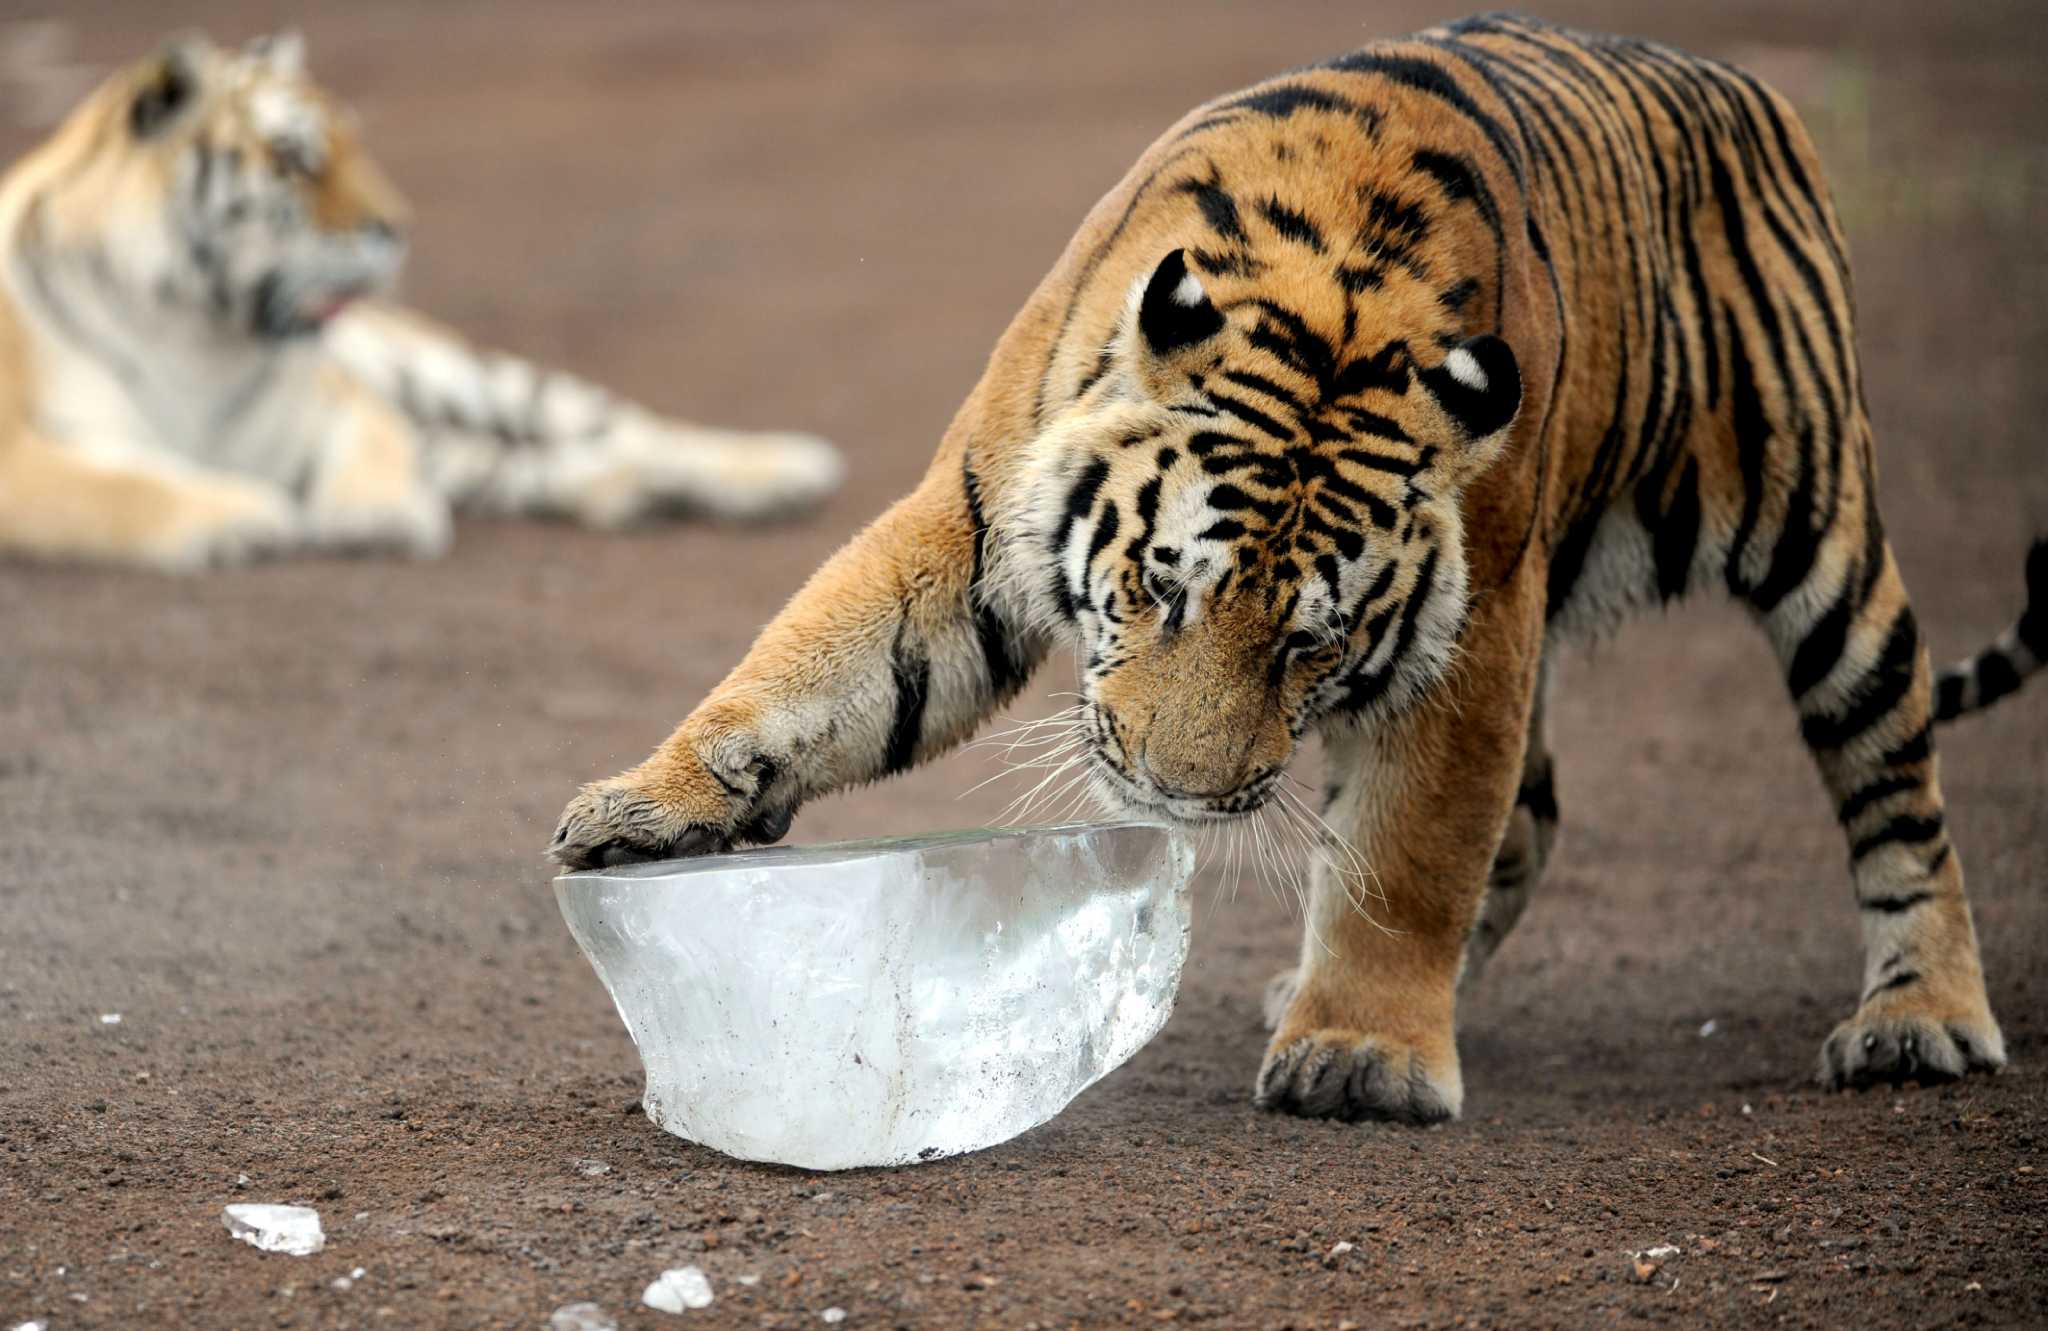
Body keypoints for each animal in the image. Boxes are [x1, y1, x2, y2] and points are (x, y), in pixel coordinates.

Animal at [0, 38, 839, 569]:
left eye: (352, 145)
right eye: (294, 159)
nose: (397, 228)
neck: (193, 330)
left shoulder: (341, 397)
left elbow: (372, 446)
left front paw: (373, 516)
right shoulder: (24, 454)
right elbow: (123, 484)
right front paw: (248, 514)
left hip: (450, 369)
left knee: (625, 423)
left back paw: (783, 467)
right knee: (522, 462)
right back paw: (629, 493)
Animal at [552, 18, 2039, 1122]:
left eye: (1309, 642)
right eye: (1160, 586)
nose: (1174, 793)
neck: (1336, 288)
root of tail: (1730, 78)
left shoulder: (1477, 628)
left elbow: (1408, 849)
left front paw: (1364, 1052)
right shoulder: (972, 519)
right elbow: (816, 669)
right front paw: (641, 806)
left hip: (1821, 534)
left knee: (1897, 779)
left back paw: (1919, 1018)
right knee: (1540, 810)